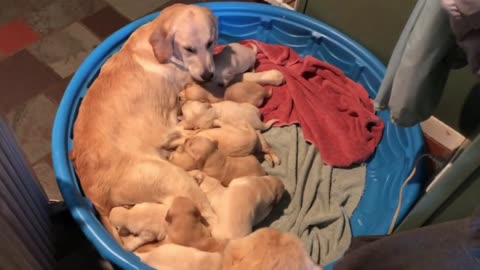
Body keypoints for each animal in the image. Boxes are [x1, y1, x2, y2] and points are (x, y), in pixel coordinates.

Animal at [69, 3, 219, 240]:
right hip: (170, 176)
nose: (207, 75)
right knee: (213, 221)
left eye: (210, 43)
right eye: (189, 49)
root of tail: (94, 196)